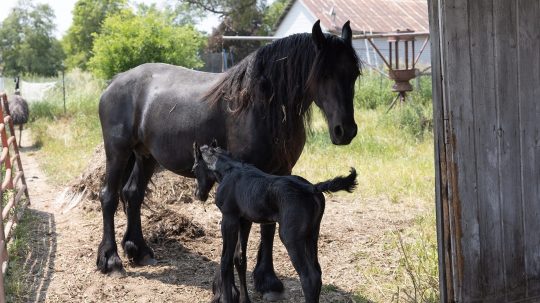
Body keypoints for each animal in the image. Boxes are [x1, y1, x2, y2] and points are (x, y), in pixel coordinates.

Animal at [192, 143, 356, 303]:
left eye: (194, 168)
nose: (198, 194)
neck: (229, 169)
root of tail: (311, 187)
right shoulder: (244, 220)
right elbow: (239, 258)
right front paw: (245, 300)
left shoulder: (229, 218)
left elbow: (225, 260)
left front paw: (226, 299)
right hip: (312, 233)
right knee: (318, 272)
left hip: (290, 237)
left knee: (310, 278)